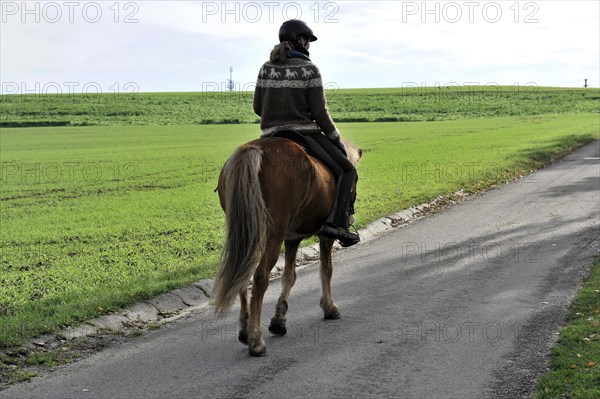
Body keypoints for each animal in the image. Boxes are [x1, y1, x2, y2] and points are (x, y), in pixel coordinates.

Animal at [212, 135, 360, 356]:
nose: (350, 216)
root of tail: (254, 150)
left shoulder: (292, 239)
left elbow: (289, 276)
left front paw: (279, 320)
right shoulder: (325, 236)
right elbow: (326, 270)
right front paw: (329, 308)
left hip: (247, 233)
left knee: (242, 275)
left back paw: (245, 331)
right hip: (273, 234)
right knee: (260, 277)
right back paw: (256, 340)